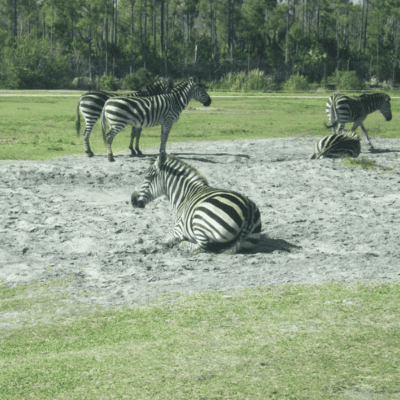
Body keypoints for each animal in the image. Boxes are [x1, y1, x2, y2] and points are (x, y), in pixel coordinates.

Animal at [131, 152, 262, 255]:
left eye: (148, 177)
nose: (132, 201)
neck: (185, 195)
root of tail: (248, 209)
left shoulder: (178, 228)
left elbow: (161, 240)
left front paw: (149, 248)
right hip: (248, 241)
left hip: (199, 220)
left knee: (202, 246)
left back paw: (182, 244)